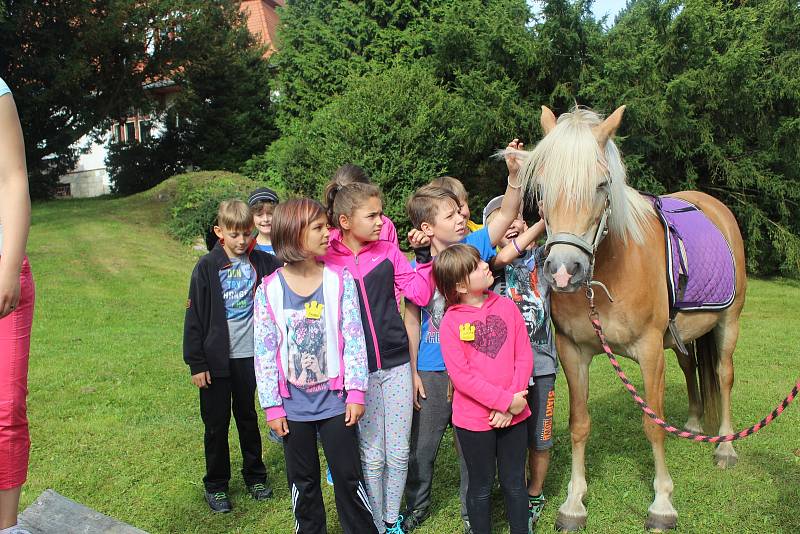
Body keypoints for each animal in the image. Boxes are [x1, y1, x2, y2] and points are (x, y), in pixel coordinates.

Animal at [516, 104, 748, 532]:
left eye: (602, 185)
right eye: (541, 186)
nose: (563, 271)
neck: (612, 267)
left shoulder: (649, 351)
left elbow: (652, 425)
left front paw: (662, 504)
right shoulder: (573, 352)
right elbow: (579, 424)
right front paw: (574, 503)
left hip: (729, 323)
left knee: (723, 376)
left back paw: (725, 447)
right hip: (681, 337)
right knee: (691, 369)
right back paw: (693, 425)